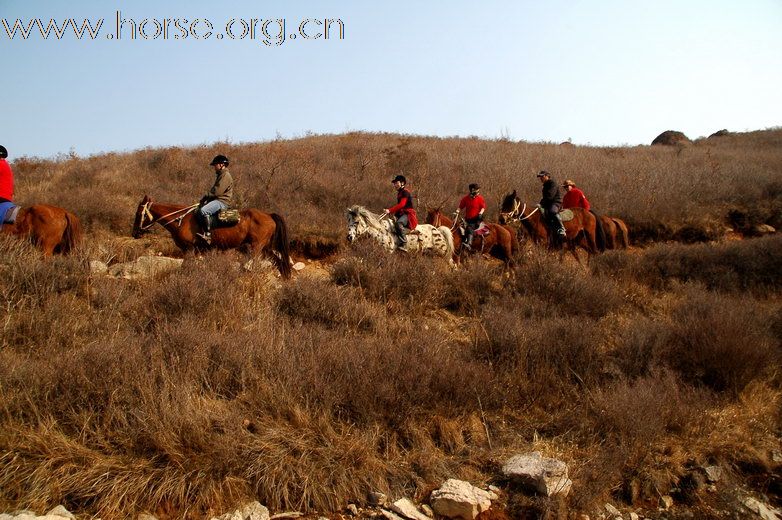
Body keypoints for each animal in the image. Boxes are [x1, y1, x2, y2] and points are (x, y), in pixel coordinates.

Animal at [133, 193, 292, 278]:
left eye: (139, 213)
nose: (135, 233)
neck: (180, 219)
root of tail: (269, 215)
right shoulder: (196, 250)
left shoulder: (189, 249)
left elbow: (185, 267)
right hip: (265, 247)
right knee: (279, 262)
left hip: (256, 247)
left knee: (255, 264)